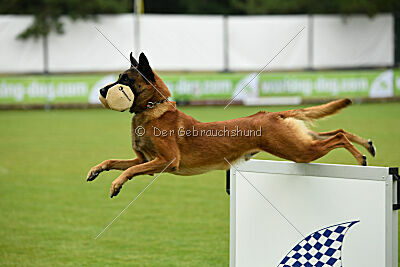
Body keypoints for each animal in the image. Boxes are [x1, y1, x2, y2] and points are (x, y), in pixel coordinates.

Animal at [86, 52, 376, 199]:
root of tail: (272, 113)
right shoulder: (145, 161)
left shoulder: (166, 162)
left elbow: (127, 171)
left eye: (125, 79)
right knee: (336, 131)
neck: (152, 109)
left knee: (338, 137)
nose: (100, 90)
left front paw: (116, 185)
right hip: (301, 141)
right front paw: (96, 170)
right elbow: (115, 162)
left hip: (299, 151)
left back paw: (360, 156)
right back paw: (367, 145)